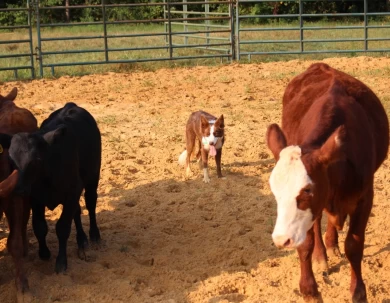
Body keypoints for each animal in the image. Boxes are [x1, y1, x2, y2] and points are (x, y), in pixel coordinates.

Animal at [4, 103, 101, 274]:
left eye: (36, 160)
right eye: (11, 160)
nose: (19, 189)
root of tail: (71, 105)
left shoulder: (72, 192)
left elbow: (62, 228)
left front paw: (61, 261)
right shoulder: (36, 199)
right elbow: (39, 226)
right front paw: (44, 253)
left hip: (93, 176)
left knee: (91, 203)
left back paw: (94, 235)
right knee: (77, 212)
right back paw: (82, 240)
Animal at [266, 63, 388, 302]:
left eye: (307, 189)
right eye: (274, 191)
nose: (281, 240)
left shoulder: (365, 198)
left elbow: (354, 245)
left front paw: (358, 291)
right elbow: (305, 244)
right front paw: (309, 290)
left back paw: (331, 244)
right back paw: (321, 255)